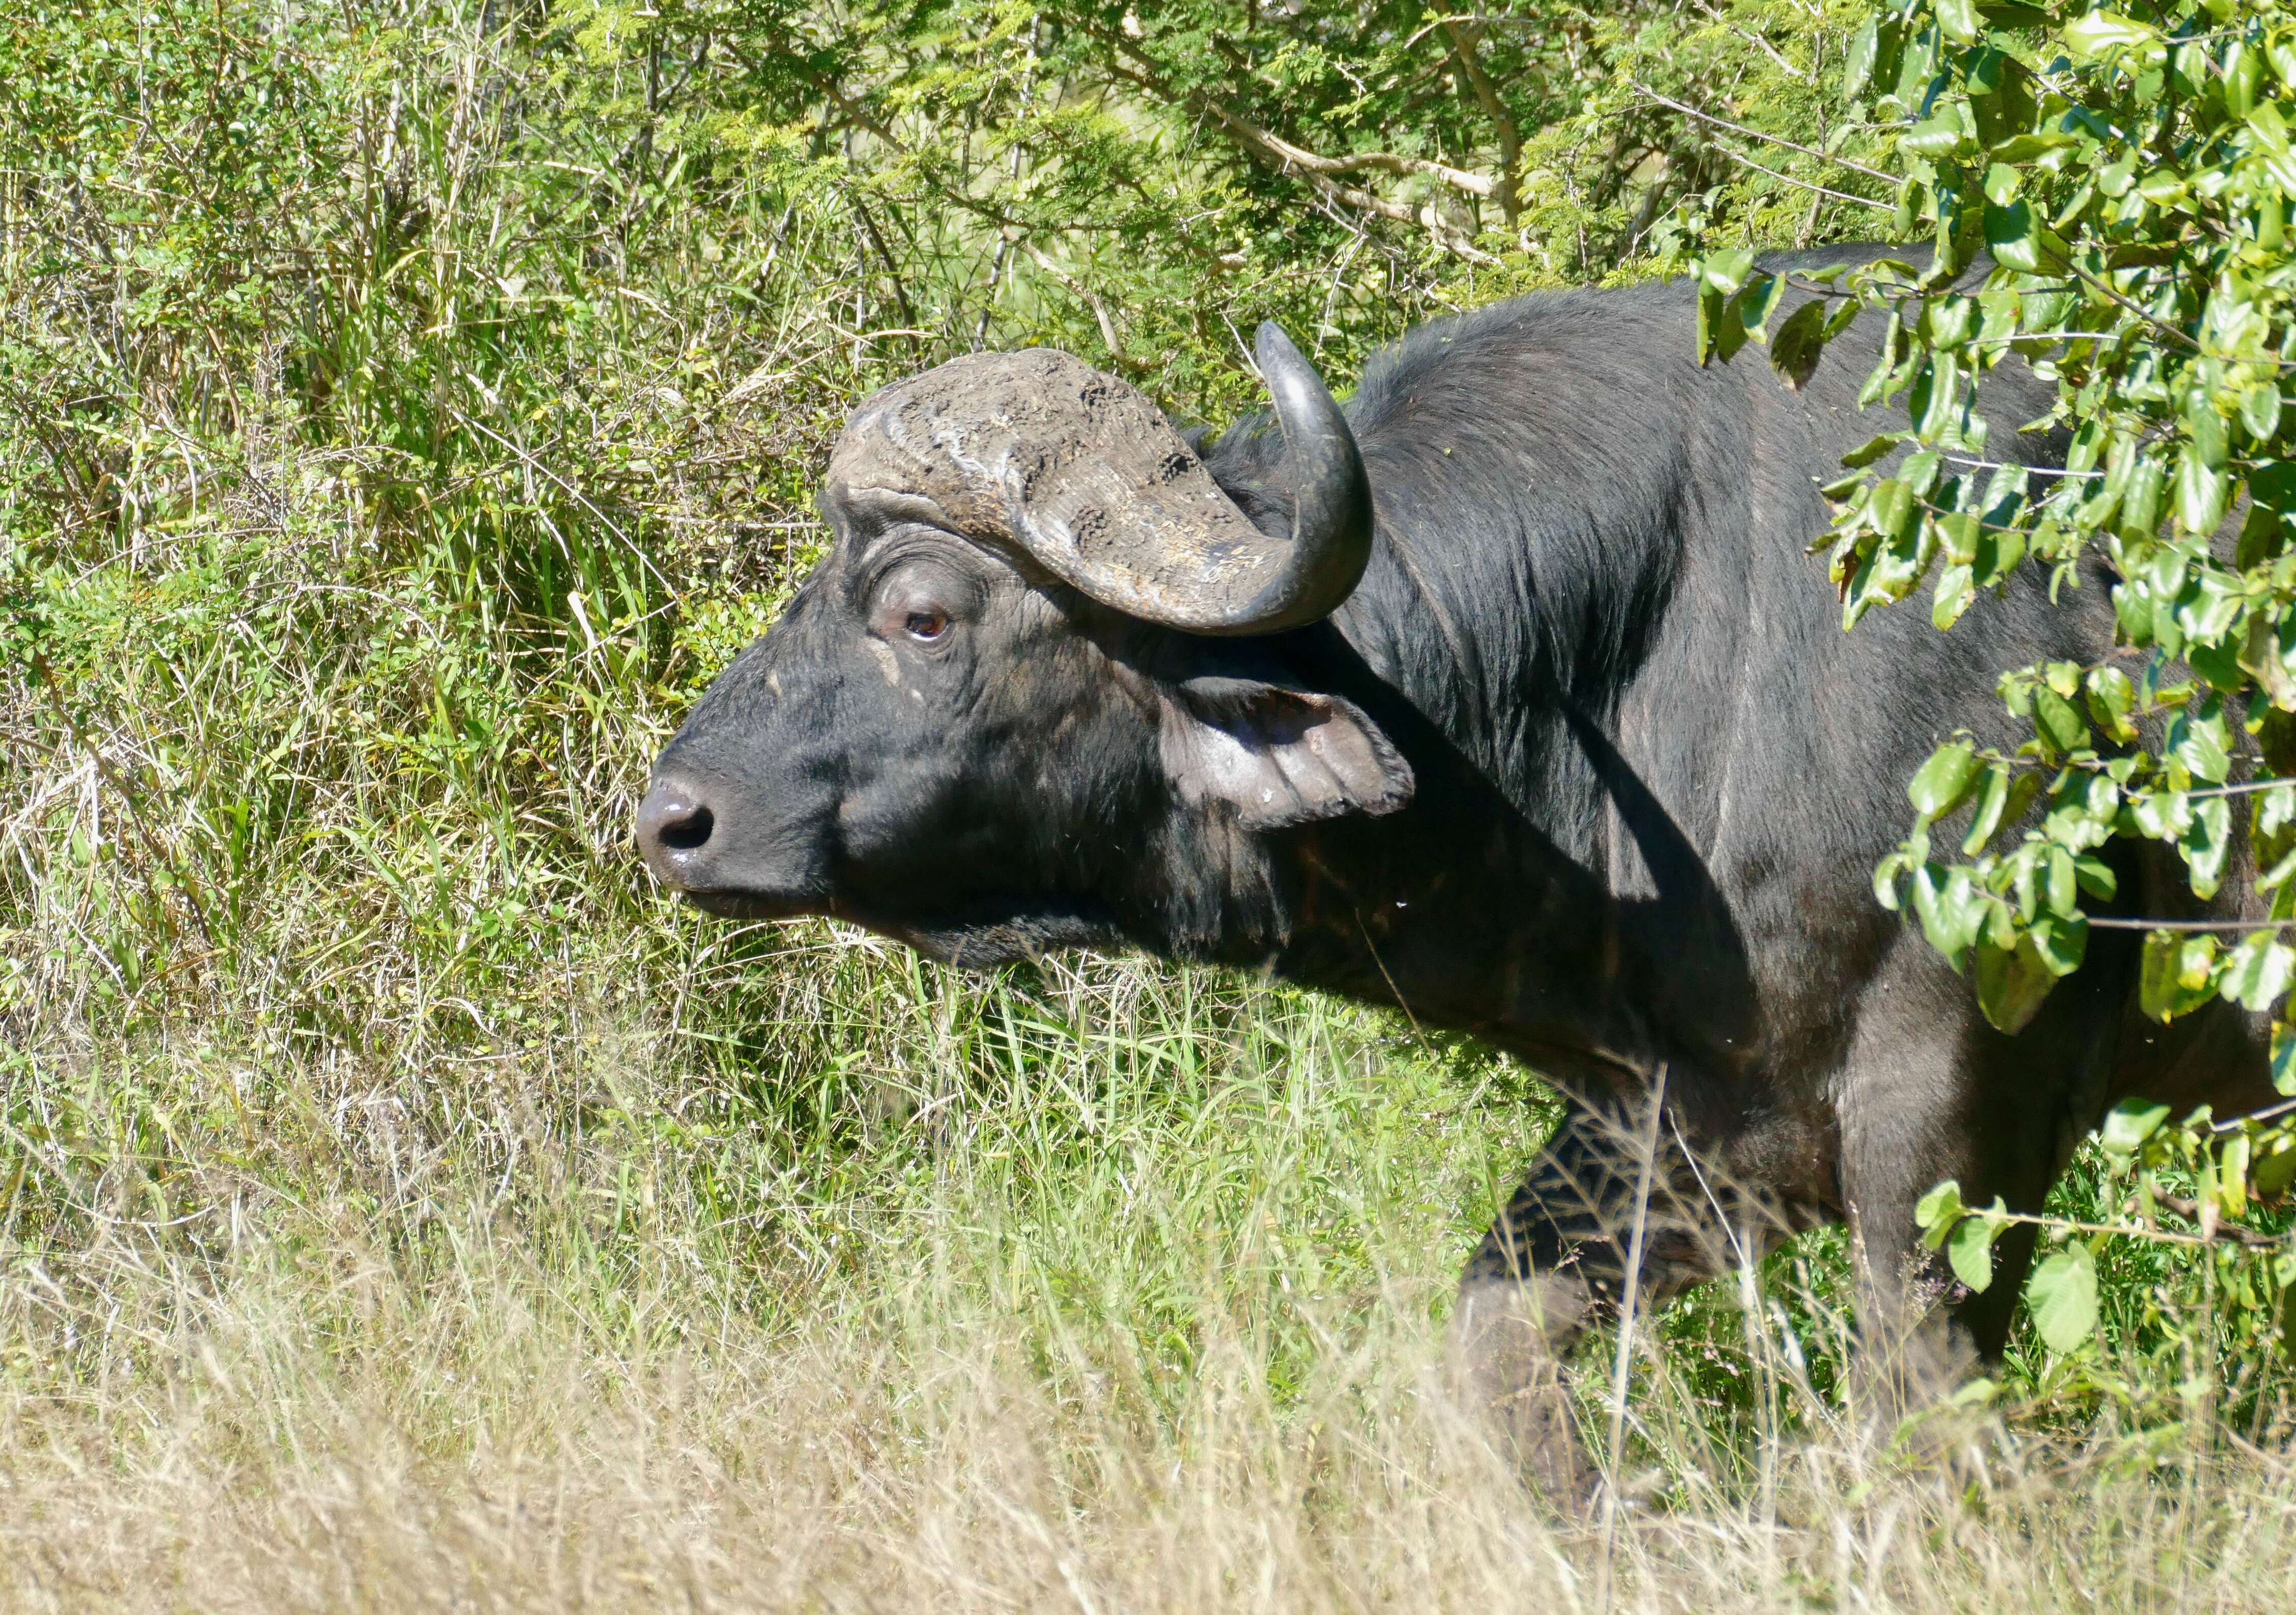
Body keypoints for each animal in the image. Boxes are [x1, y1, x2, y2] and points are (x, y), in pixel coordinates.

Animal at [633, 253, 2277, 1507]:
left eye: (921, 610)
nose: (674, 819)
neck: (1648, 663)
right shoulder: (1687, 1125)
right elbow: (1493, 1344)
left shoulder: (1959, 1098)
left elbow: (1916, 1409)